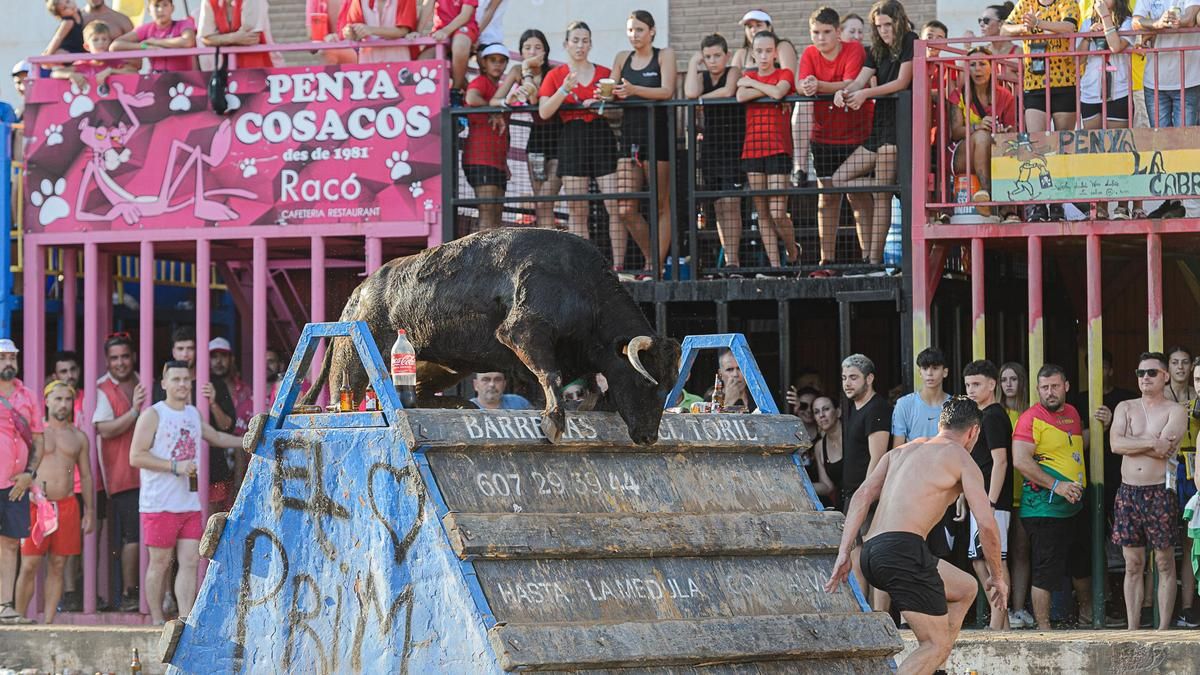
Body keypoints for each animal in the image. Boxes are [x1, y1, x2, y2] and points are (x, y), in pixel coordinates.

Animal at [302, 228, 686, 444]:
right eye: (645, 381)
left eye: (669, 386)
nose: (648, 437)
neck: (584, 288)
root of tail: (358, 293)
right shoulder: (522, 332)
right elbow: (550, 374)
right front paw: (553, 420)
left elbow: (588, 384)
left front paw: (584, 404)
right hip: (352, 359)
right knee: (345, 393)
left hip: (443, 365)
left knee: (421, 391)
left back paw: (455, 405)